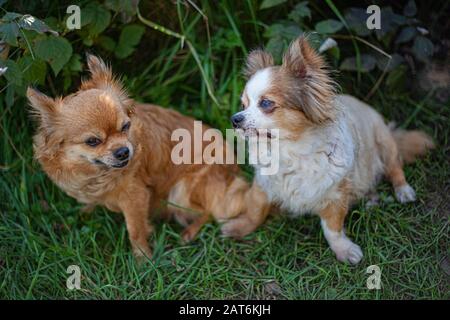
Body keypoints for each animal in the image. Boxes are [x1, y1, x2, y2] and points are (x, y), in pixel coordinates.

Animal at [29, 55, 268, 258]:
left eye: (125, 127)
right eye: (93, 141)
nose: (123, 151)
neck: (97, 174)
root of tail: (233, 167)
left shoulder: (135, 196)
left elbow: (135, 230)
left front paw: (143, 259)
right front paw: (86, 210)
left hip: (181, 191)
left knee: (210, 211)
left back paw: (189, 232)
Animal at [230, 36, 434, 264]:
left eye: (265, 103)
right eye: (244, 105)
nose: (235, 119)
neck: (289, 151)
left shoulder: (335, 195)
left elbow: (332, 229)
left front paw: (343, 250)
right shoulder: (262, 185)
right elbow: (255, 210)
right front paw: (239, 227)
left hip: (385, 143)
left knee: (394, 168)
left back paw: (403, 191)